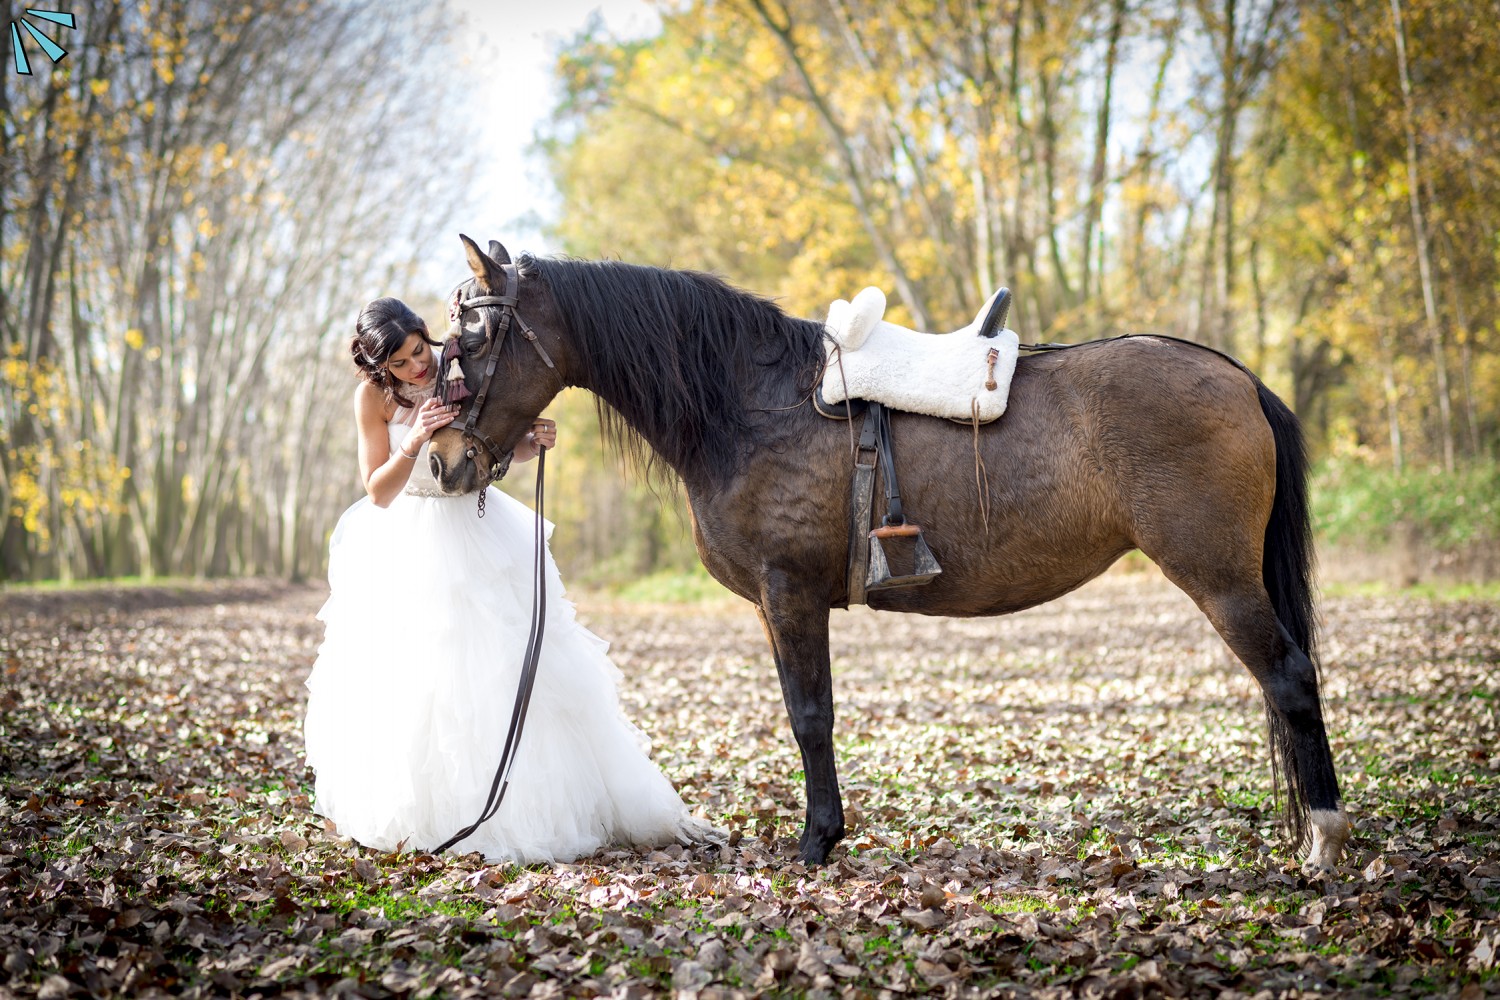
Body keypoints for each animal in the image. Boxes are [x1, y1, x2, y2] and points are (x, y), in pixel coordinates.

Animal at [429, 236, 1356, 875]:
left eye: (470, 342)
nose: (442, 464)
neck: (749, 403)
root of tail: (1238, 378)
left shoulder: (790, 594)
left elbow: (810, 717)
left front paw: (816, 842)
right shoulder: (776, 605)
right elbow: (808, 713)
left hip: (1220, 579)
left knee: (1289, 679)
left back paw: (1324, 843)